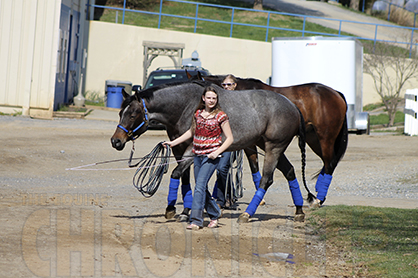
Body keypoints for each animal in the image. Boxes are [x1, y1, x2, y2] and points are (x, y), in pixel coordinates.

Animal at [111, 80, 314, 222]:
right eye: (120, 112)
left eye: (132, 114)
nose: (116, 141)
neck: (186, 105)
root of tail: (293, 106)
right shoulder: (179, 149)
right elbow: (185, 179)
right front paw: (186, 211)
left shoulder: (192, 150)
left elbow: (176, 174)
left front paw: (171, 209)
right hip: (268, 146)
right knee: (289, 172)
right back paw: (299, 211)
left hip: (274, 147)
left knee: (266, 179)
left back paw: (247, 214)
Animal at [198, 74, 348, 206]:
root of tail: (336, 93)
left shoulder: (248, 142)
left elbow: (253, 166)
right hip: (313, 139)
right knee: (327, 162)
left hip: (326, 137)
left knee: (330, 163)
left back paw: (319, 198)